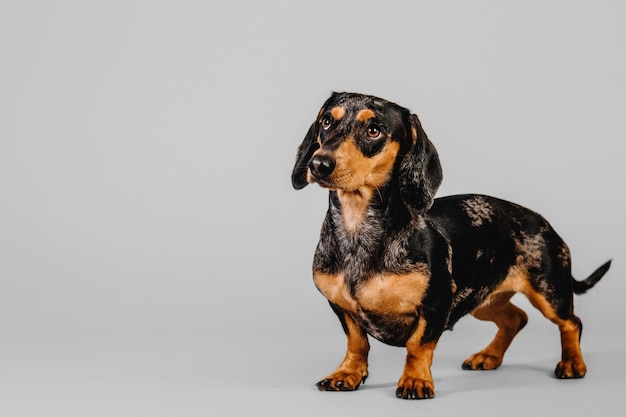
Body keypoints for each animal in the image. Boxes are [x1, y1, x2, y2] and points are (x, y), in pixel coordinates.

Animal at [292, 92, 608, 400]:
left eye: (373, 130)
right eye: (326, 122)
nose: (318, 164)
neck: (358, 231)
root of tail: (541, 221)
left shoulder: (437, 304)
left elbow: (418, 346)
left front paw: (415, 380)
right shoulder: (341, 307)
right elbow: (357, 343)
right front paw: (348, 374)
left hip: (549, 292)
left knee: (571, 322)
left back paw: (572, 363)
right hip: (482, 299)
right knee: (516, 319)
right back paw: (488, 356)